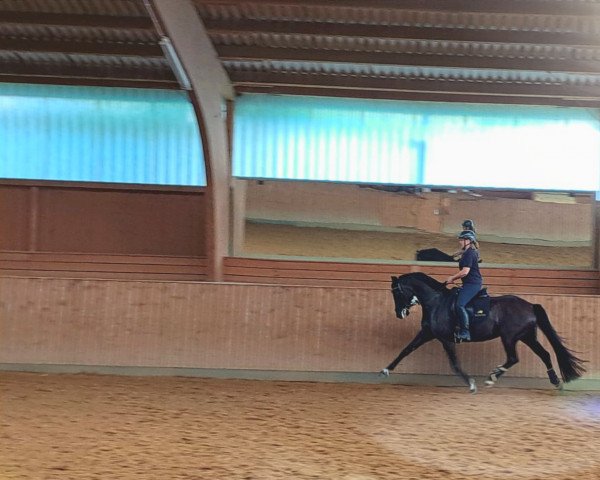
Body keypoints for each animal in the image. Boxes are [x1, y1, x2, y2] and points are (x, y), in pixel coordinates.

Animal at [380, 272, 584, 392]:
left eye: (396, 292)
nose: (399, 313)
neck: (436, 302)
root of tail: (530, 306)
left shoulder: (446, 339)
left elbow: (454, 363)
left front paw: (471, 384)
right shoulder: (428, 333)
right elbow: (406, 350)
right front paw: (385, 370)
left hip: (509, 337)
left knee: (513, 358)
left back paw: (492, 378)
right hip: (527, 336)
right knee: (545, 354)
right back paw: (555, 381)